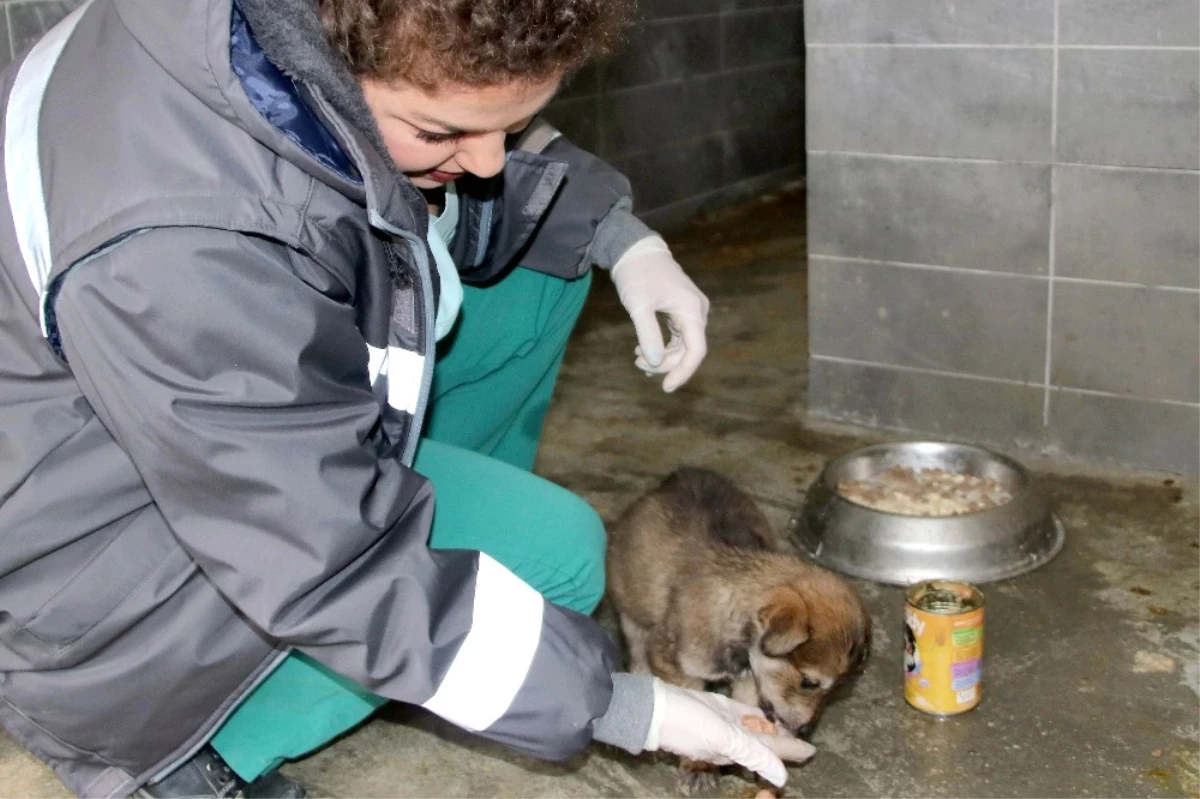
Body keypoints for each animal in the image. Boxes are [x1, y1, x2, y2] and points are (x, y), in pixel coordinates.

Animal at [609, 467, 873, 791]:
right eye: (809, 681)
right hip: (631, 617)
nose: (806, 730)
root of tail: (678, 477)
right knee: (637, 658)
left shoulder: (750, 678)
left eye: (835, 689)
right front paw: (699, 765)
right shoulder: (675, 664)